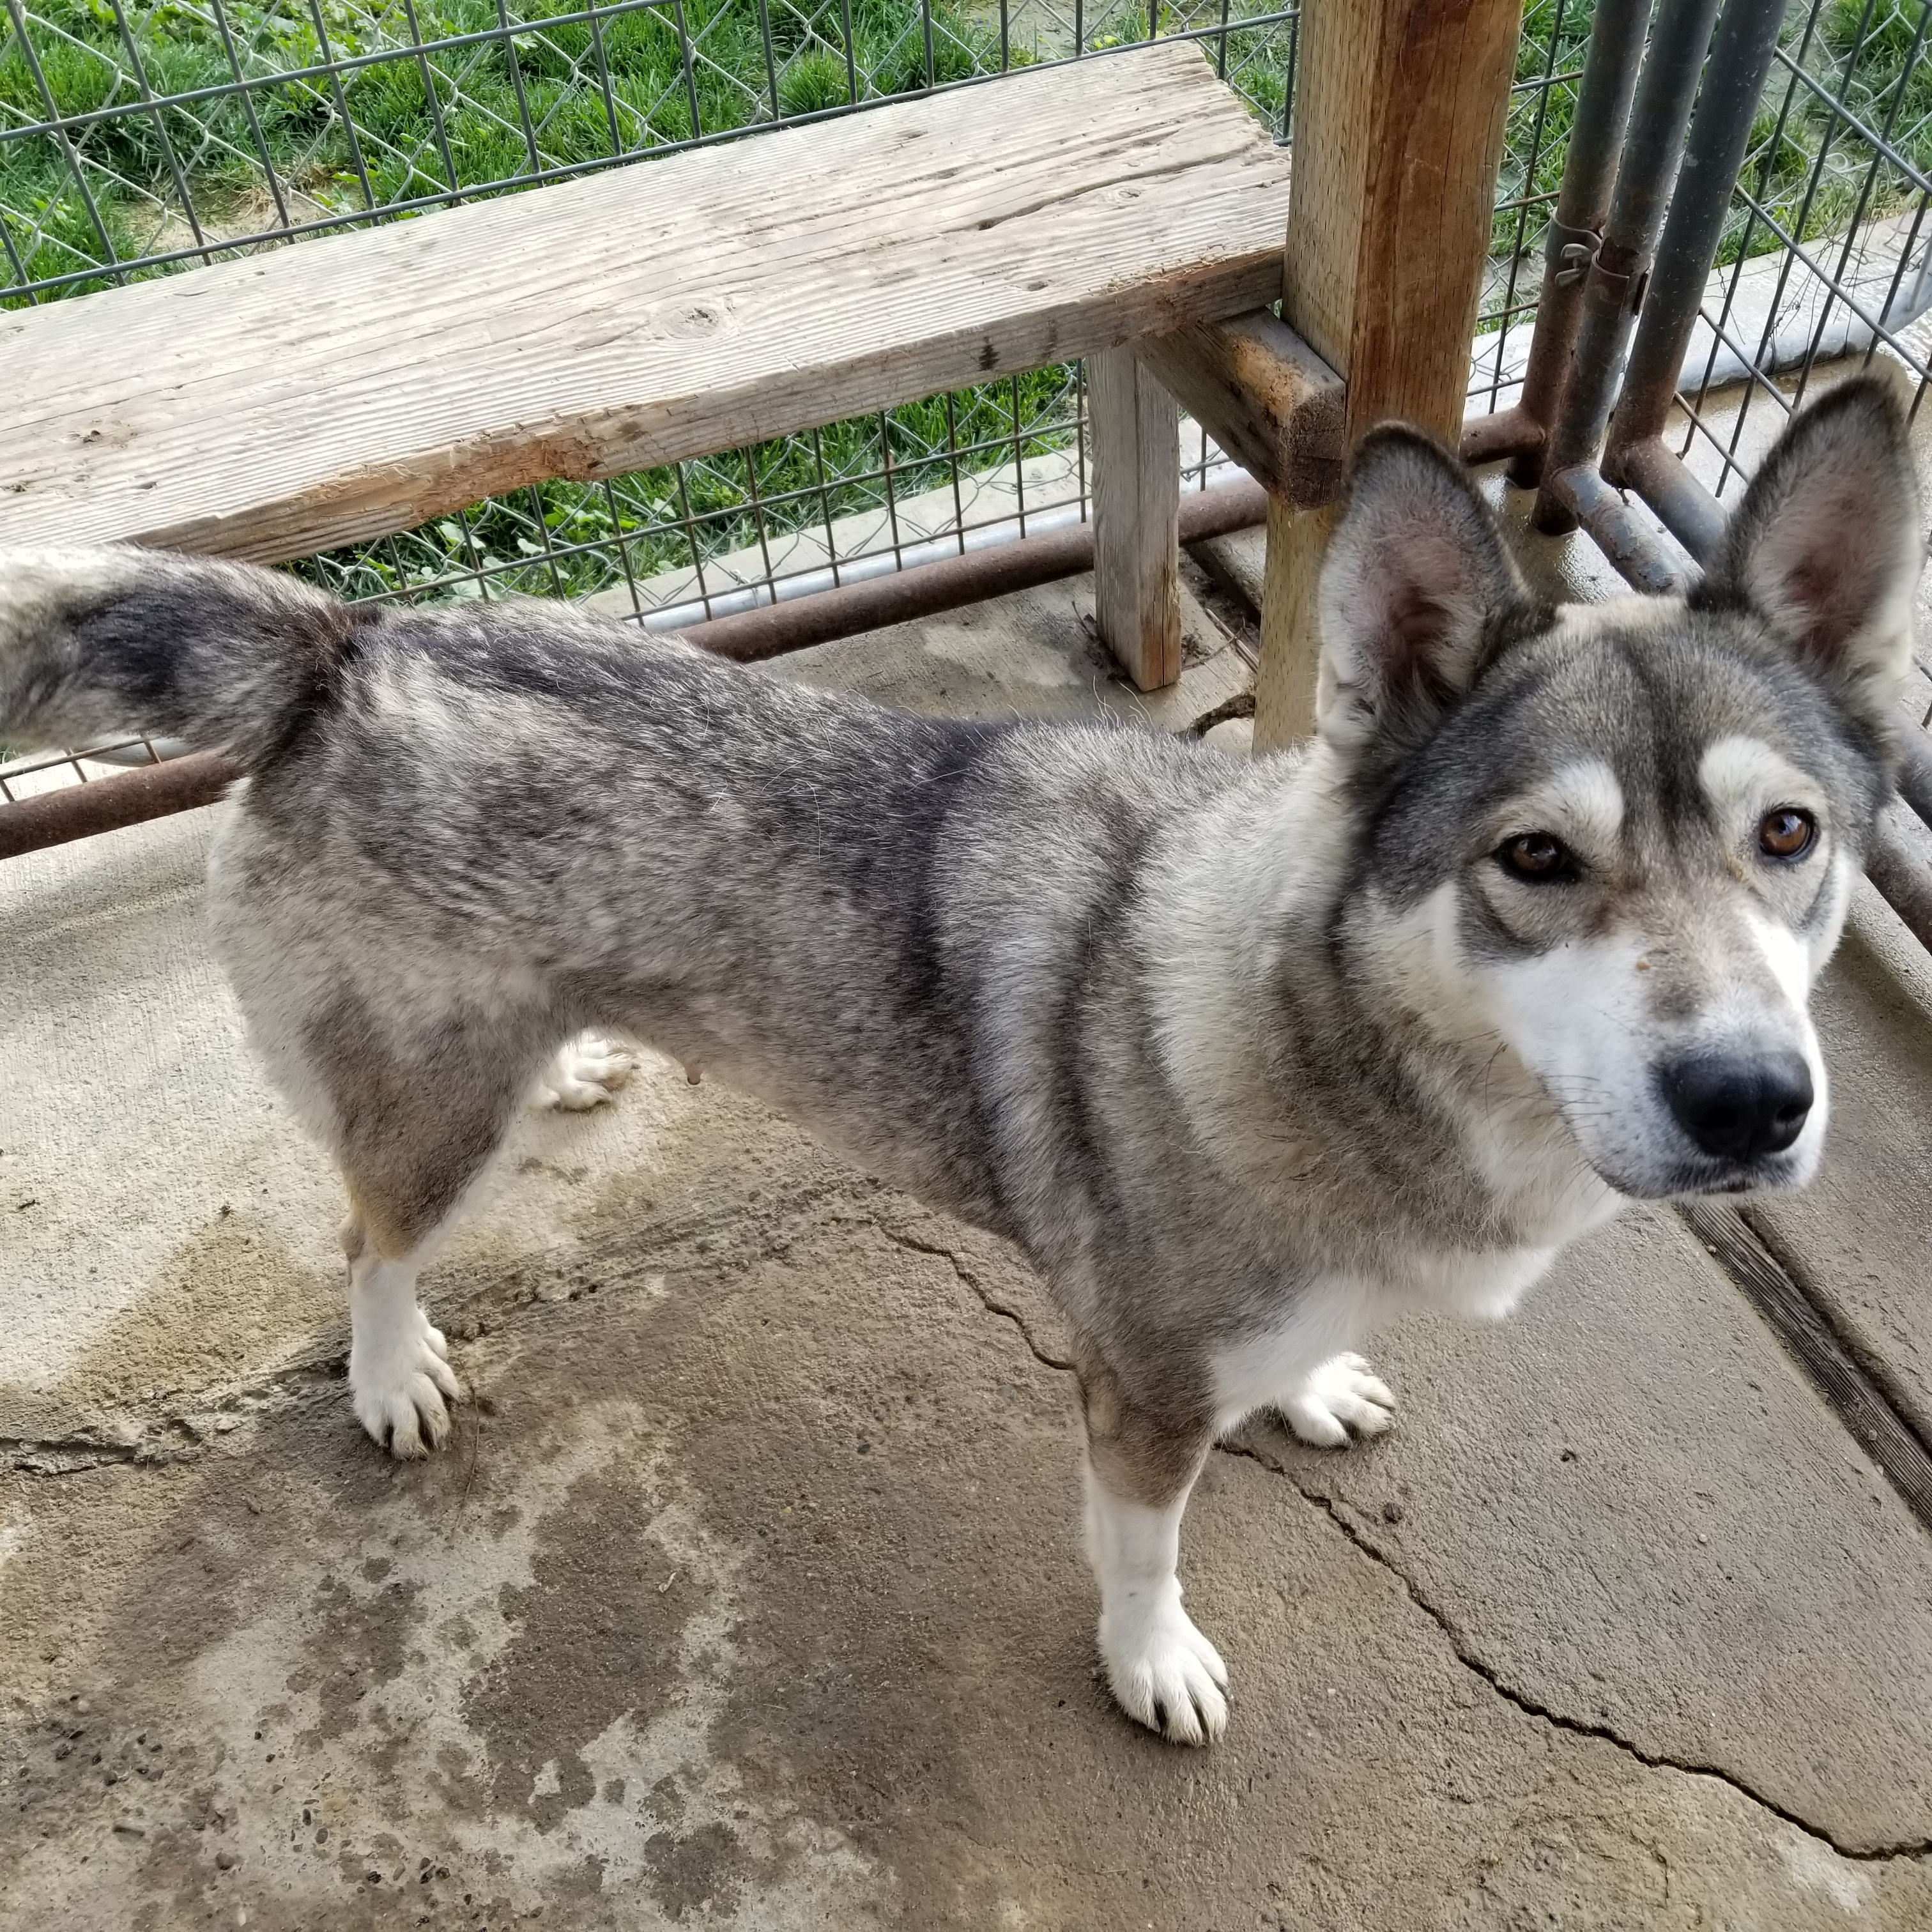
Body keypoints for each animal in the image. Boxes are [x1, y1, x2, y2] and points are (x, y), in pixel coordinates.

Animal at [7, 376, 1924, 1754]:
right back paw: (393, 1365)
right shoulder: (1137, 1400)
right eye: (1536, 859)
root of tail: (352, 644)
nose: (1755, 1104)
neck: (1334, 1036)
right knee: (368, 1235)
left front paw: (1310, 1387)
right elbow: (1143, 1553)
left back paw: (579, 1064)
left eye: (1790, 834)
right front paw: (1151, 1659)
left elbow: (1301, 1354)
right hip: (421, 1116)